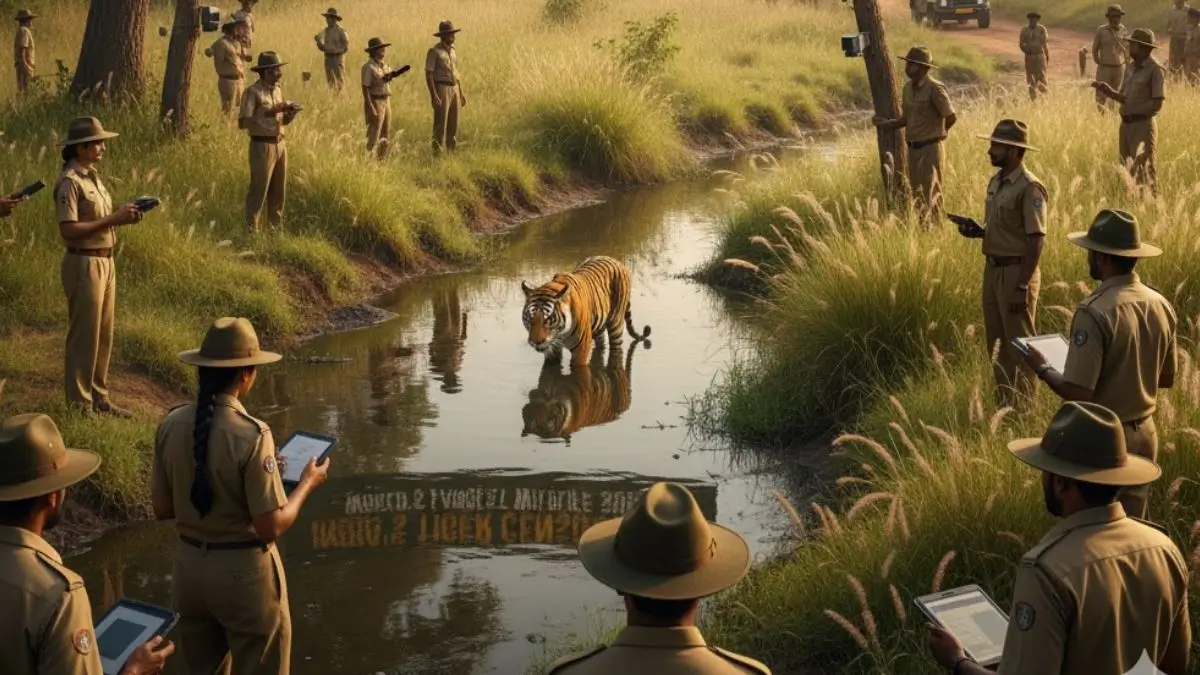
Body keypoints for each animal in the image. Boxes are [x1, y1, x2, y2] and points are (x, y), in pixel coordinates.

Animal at [520, 255, 651, 367]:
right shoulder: (552, 350)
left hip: (616, 326)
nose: (536, 342)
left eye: (547, 320)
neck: (560, 334)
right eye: (530, 319)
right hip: (599, 326)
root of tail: (617, 261)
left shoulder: (580, 350)